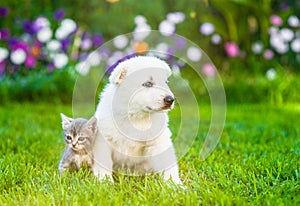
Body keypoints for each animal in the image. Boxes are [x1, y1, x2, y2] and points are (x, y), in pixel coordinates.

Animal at [92, 55, 182, 184]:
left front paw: (175, 184)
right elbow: (104, 162)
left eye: (165, 82)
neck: (136, 117)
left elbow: (168, 164)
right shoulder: (103, 140)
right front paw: (104, 182)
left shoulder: (159, 141)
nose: (170, 100)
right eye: (148, 84)